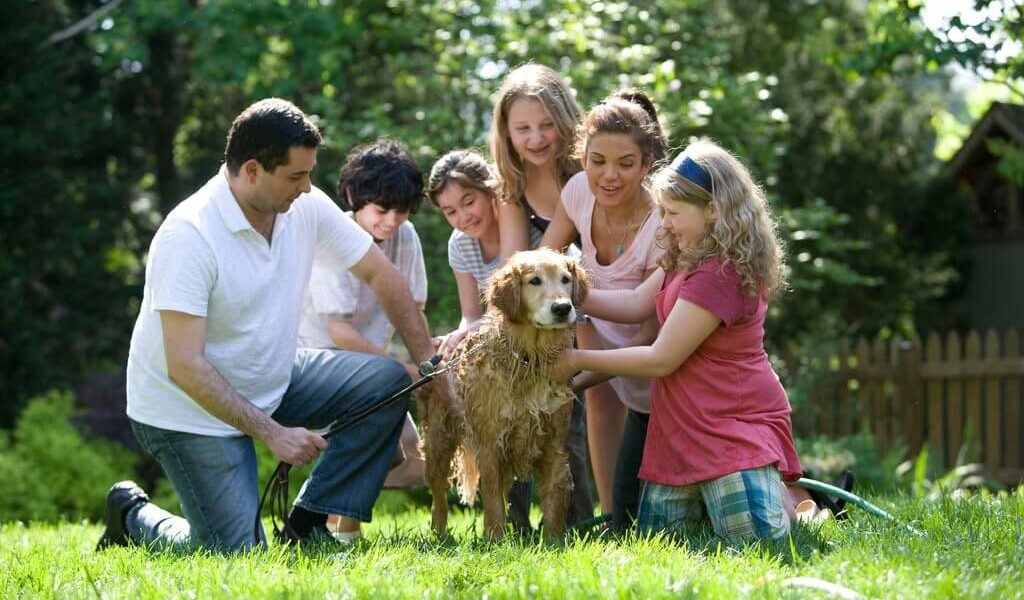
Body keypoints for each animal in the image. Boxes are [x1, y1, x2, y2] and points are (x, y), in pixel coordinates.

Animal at [417, 247, 593, 536]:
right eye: (534, 281)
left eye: (566, 279)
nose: (562, 308)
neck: (529, 358)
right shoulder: (490, 445)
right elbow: (492, 501)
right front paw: (495, 538)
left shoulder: (554, 445)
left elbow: (553, 501)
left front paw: (554, 539)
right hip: (438, 441)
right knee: (439, 496)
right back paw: (440, 535)